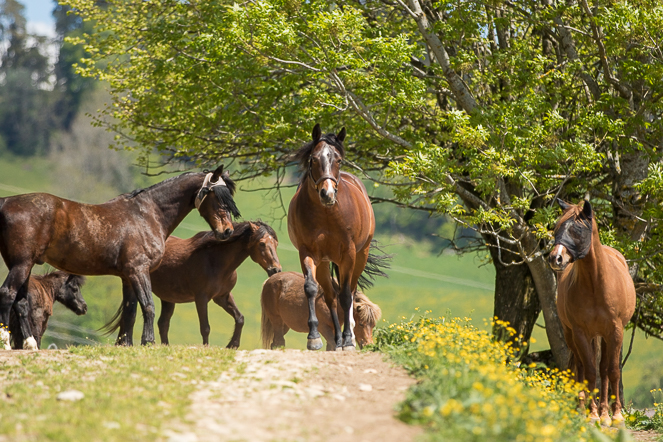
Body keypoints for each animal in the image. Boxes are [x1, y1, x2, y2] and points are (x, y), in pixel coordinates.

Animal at [0, 164, 239, 350]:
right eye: (219, 198)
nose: (227, 231)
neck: (146, 214)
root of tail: (6, 202)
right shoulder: (139, 271)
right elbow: (148, 306)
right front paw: (147, 342)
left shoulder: (127, 276)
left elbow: (130, 312)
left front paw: (125, 344)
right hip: (22, 264)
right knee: (7, 294)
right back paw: (6, 344)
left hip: (21, 264)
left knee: (20, 302)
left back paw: (29, 344)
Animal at [104, 219, 282, 348]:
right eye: (262, 244)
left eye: (276, 244)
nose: (276, 269)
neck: (215, 261)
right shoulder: (201, 298)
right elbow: (205, 327)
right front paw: (206, 348)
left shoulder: (222, 297)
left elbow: (240, 318)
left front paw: (232, 345)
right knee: (131, 315)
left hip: (168, 298)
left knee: (162, 323)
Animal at [288, 122, 376, 350]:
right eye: (313, 159)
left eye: (338, 160)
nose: (327, 194)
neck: (327, 214)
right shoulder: (308, 253)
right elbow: (311, 289)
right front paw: (314, 337)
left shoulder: (349, 254)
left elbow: (346, 295)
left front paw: (349, 340)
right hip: (324, 262)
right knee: (330, 297)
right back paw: (337, 340)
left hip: (360, 256)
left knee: (350, 292)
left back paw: (348, 335)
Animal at [548, 199, 640, 424]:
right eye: (557, 228)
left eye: (577, 229)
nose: (555, 258)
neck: (596, 284)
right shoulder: (580, 333)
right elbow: (589, 371)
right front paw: (591, 415)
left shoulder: (615, 332)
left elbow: (612, 370)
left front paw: (615, 416)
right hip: (573, 335)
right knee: (581, 366)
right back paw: (584, 409)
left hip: (604, 336)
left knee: (604, 370)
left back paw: (605, 413)